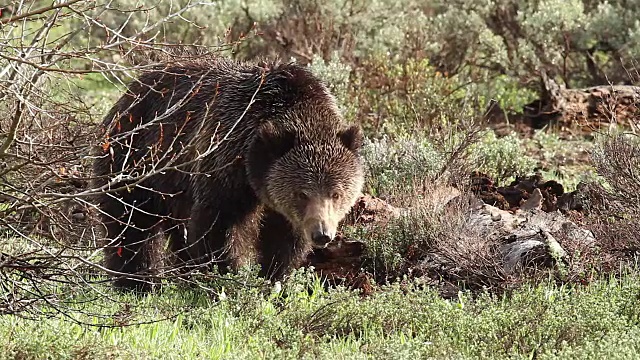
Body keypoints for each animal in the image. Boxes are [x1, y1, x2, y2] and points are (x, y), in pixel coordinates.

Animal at [92, 57, 368, 292]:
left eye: (336, 193)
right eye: (302, 193)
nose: (322, 234)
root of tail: (129, 92)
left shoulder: (281, 205)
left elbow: (284, 241)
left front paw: (273, 279)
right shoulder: (225, 163)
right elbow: (217, 226)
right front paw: (225, 275)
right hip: (134, 158)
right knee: (131, 224)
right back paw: (137, 282)